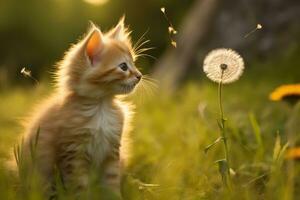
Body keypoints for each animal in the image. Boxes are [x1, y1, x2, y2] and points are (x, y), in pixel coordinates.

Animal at [20, 18, 141, 196]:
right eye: (124, 67)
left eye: (134, 63)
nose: (139, 76)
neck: (101, 107)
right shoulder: (74, 153)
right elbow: (79, 186)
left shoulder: (112, 154)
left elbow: (111, 183)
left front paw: (114, 196)